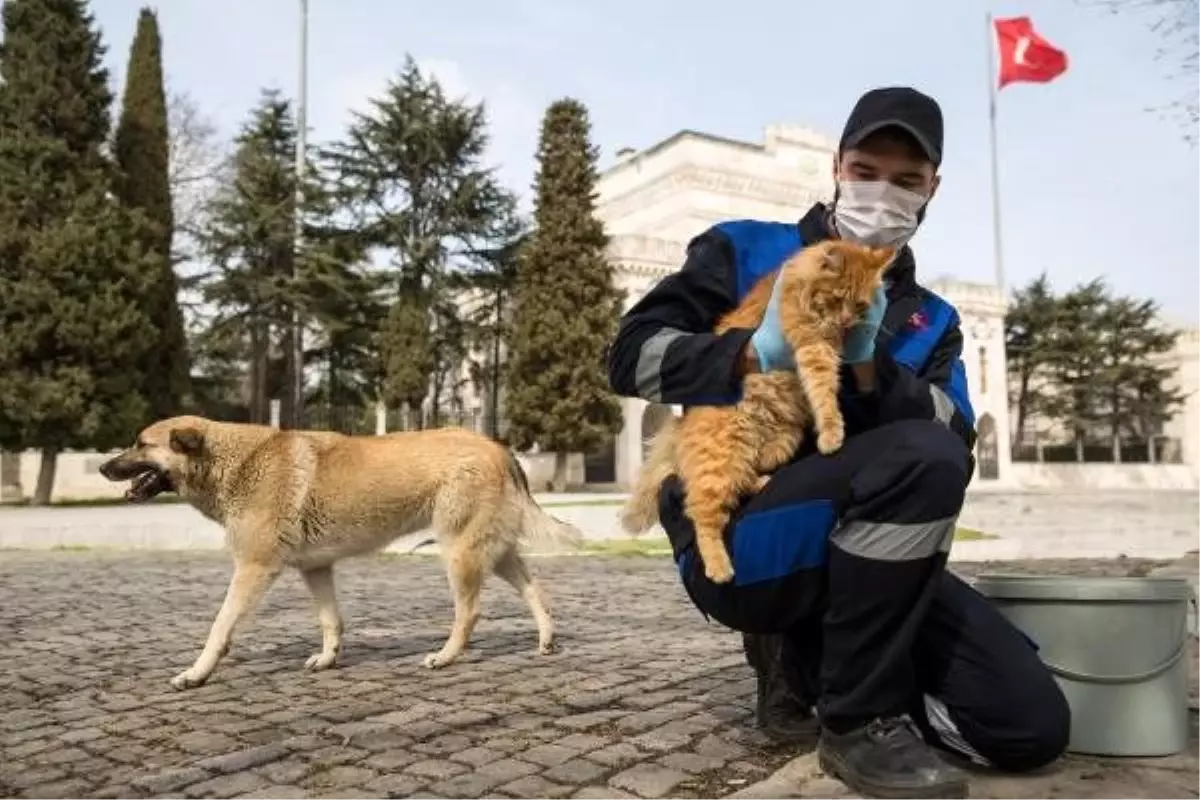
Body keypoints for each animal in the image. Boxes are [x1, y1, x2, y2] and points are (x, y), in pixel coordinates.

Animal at [96, 417, 583, 690]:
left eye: (141, 443)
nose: (102, 466)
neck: (235, 462)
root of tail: (496, 445)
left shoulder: (253, 569)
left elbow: (219, 627)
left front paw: (196, 674)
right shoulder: (316, 568)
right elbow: (331, 620)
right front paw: (329, 659)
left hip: (460, 552)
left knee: (471, 612)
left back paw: (445, 657)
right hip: (494, 553)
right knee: (536, 591)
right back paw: (546, 640)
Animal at [624, 241, 897, 585]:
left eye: (861, 304)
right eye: (838, 298)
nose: (847, 322)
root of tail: (679, 430)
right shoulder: (812, 344)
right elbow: (824, 392)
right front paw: (832, 433)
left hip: (783, 438)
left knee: (745, 476)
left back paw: (762, 479)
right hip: (720, 461)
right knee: (702, 513)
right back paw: (719, 566)